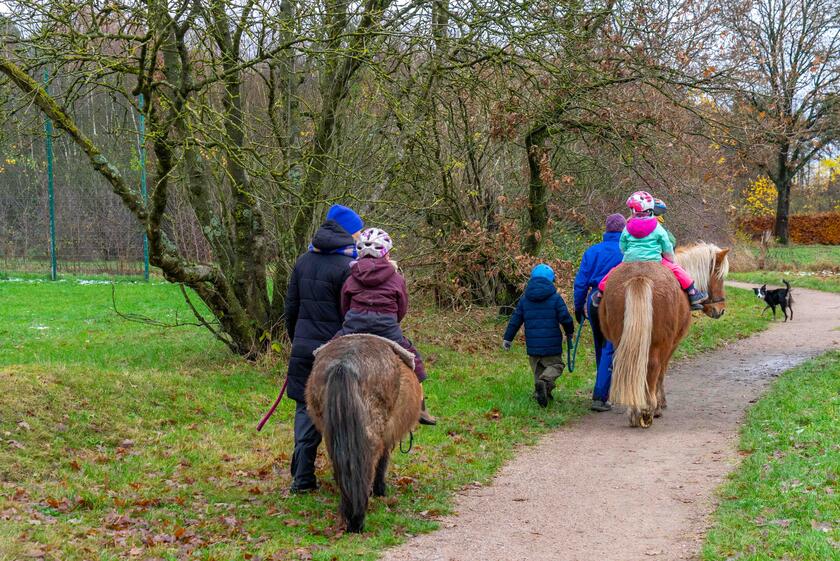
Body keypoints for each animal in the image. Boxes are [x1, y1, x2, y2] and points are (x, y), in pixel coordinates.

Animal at [306, 334, 420, 532]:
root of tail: (343, 365)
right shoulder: (386, 435)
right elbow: (382, 462)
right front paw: (380, 490)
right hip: (373, 430)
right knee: (367, 462)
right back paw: (357, 519)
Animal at [596, 243, 728, 426]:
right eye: (719, 277)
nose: (720, 310)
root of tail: (639, 277)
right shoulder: (672, 344)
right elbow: (661, 372)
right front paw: (660, 403)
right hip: (661, 342)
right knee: (653, 366)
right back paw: (648, 409)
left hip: (621, 339)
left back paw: (634, 409)